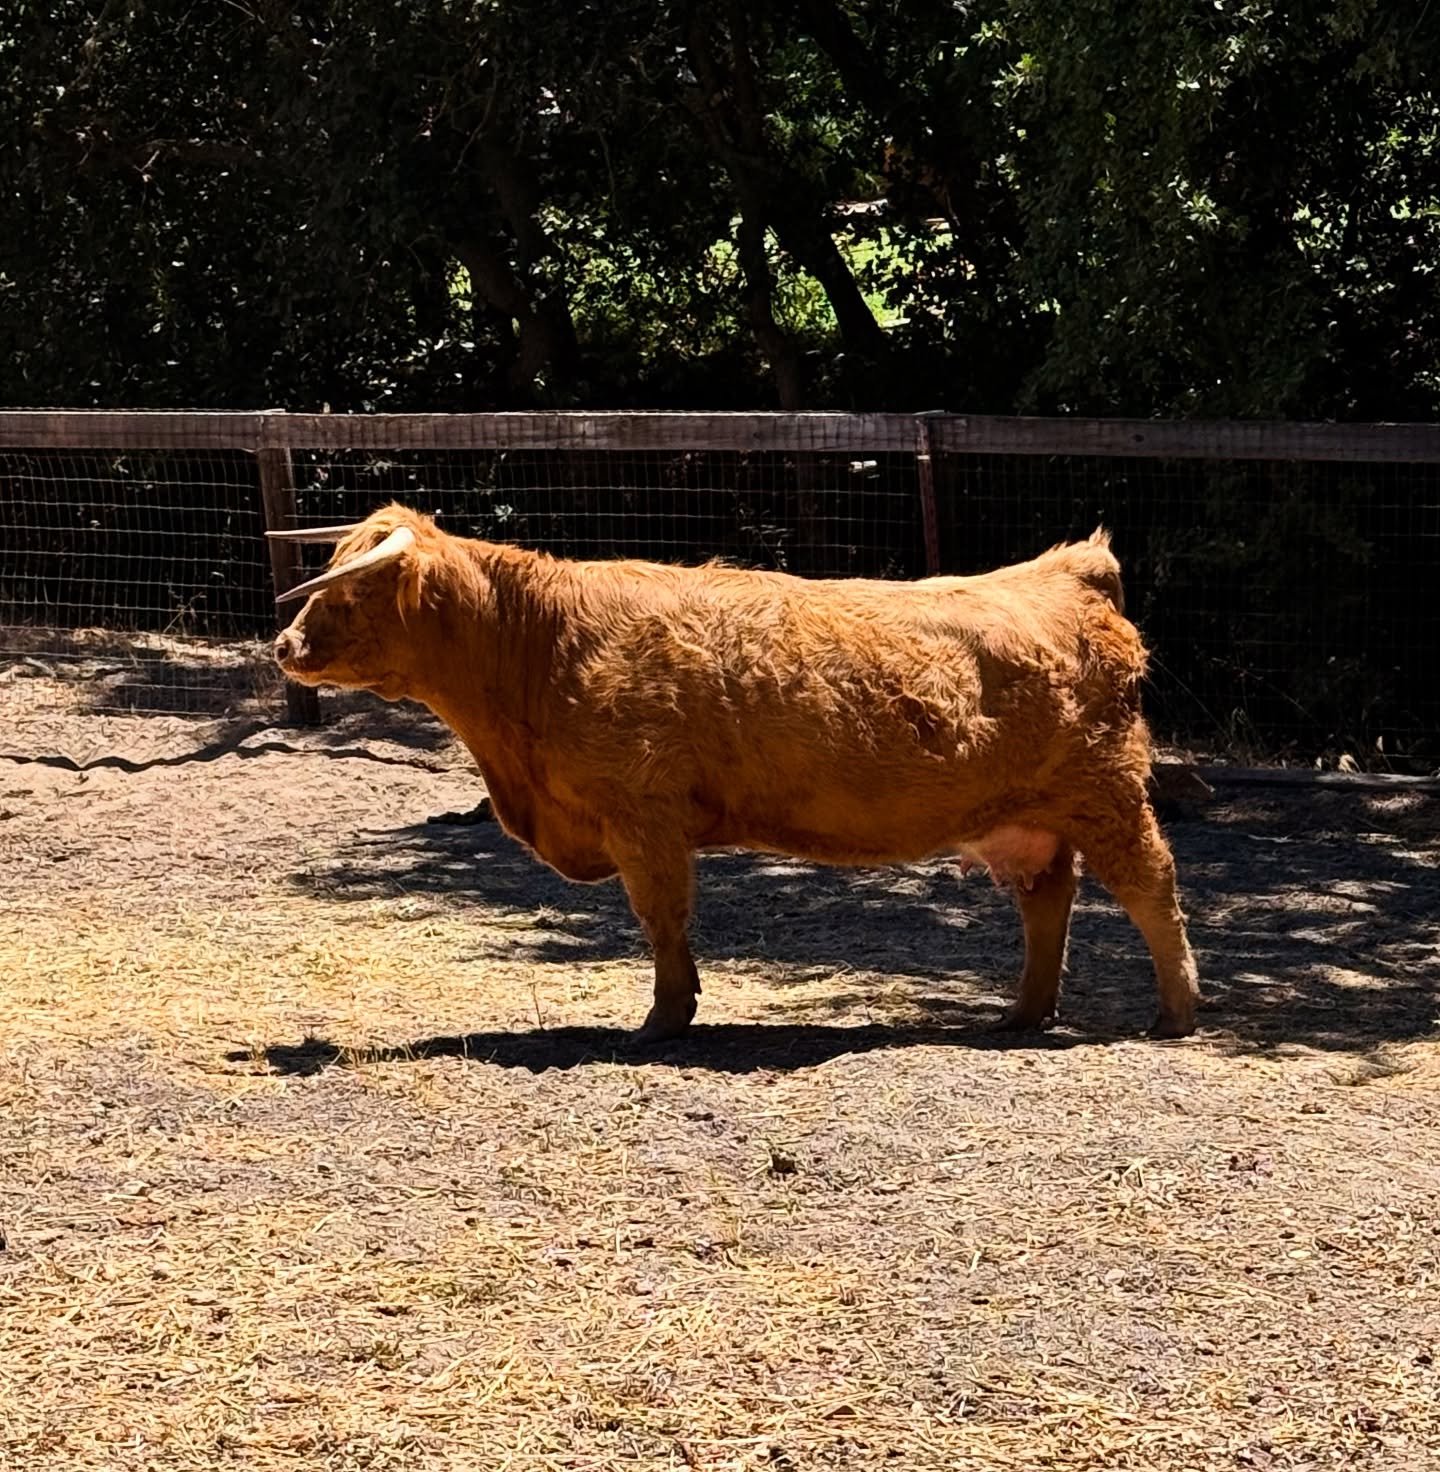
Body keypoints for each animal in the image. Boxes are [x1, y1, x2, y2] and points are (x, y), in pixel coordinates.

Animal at [269, 504, 1200, 1042]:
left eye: (347, 593)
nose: (282, 646)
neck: (535, 647)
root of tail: (1067, 570)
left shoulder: (643, 817)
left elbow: (660, 920)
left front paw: (662, 1021)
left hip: (1108, 795)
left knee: (1152, 888)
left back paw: (1175, 1012)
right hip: (1032, 818)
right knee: (1048, 901)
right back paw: (1024, 1013)